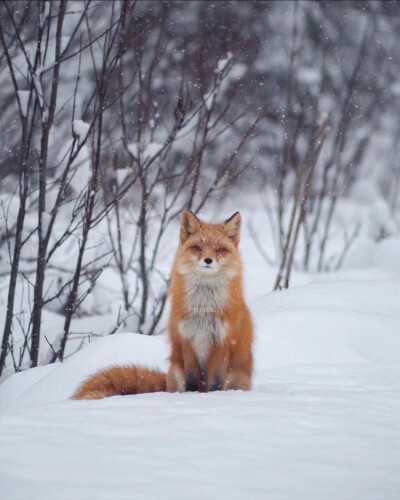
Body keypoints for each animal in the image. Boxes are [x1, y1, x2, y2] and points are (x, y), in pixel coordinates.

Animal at [72, 209, 253, 400]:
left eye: (220, 249)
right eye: (198, 247)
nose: (208, 260)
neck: (203, 308)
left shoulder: (222, 342)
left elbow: (215, 383)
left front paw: (212, 397)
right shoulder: (187, 339)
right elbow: (192, 380)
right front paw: (193, 396)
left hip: (235, 377)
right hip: (175, 371)